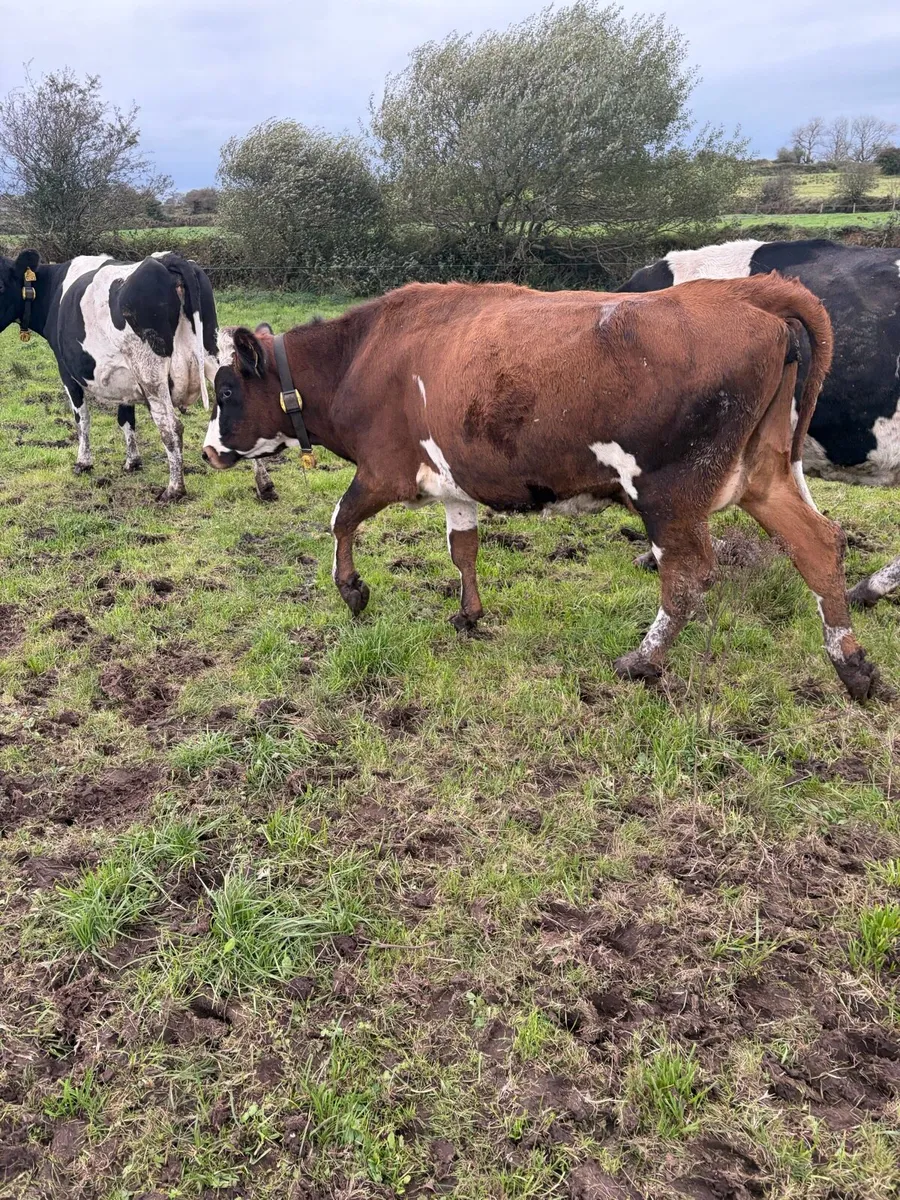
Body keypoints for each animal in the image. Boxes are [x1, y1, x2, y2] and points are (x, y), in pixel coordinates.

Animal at [0, 249, 276, 501]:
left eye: (1, 284)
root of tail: (169, 259)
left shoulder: (67, 373)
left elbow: (82, 420)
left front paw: (83, 462)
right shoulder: (123, 377)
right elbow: (126, 418)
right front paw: (133, 461)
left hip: (151, 372)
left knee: (171, 427)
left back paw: (174, 489)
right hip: (212, 354)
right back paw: (264, 485)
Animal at [201, 276, 881, 701]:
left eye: (226, 391)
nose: (207, 449)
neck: (360, 357)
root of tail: (743, 291)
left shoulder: (384, 471)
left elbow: (341, 519)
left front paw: (352, 590)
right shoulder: (455, 484)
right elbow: (464, 551)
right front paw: (469, 614)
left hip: (668, 491)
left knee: (688, 574)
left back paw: (643, 660)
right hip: (763, 476)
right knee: (820, 544)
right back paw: (851, 664)